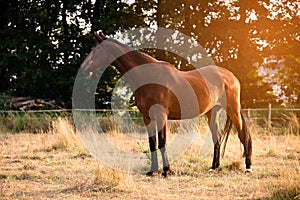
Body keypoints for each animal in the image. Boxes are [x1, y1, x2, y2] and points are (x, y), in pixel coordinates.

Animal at [81, 33, 252, 178]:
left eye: (96, 50)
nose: (84, 70)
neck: (148, 77)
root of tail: (231, 77)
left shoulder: (161, 115)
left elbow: (162, 142)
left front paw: (165, 171)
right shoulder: (146, 117)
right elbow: (152, 143)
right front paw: (152, 171)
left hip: (233, 109)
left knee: (243, 135)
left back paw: (248, 167)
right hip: (212, 113)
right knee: (217, 138)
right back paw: (214, 167)